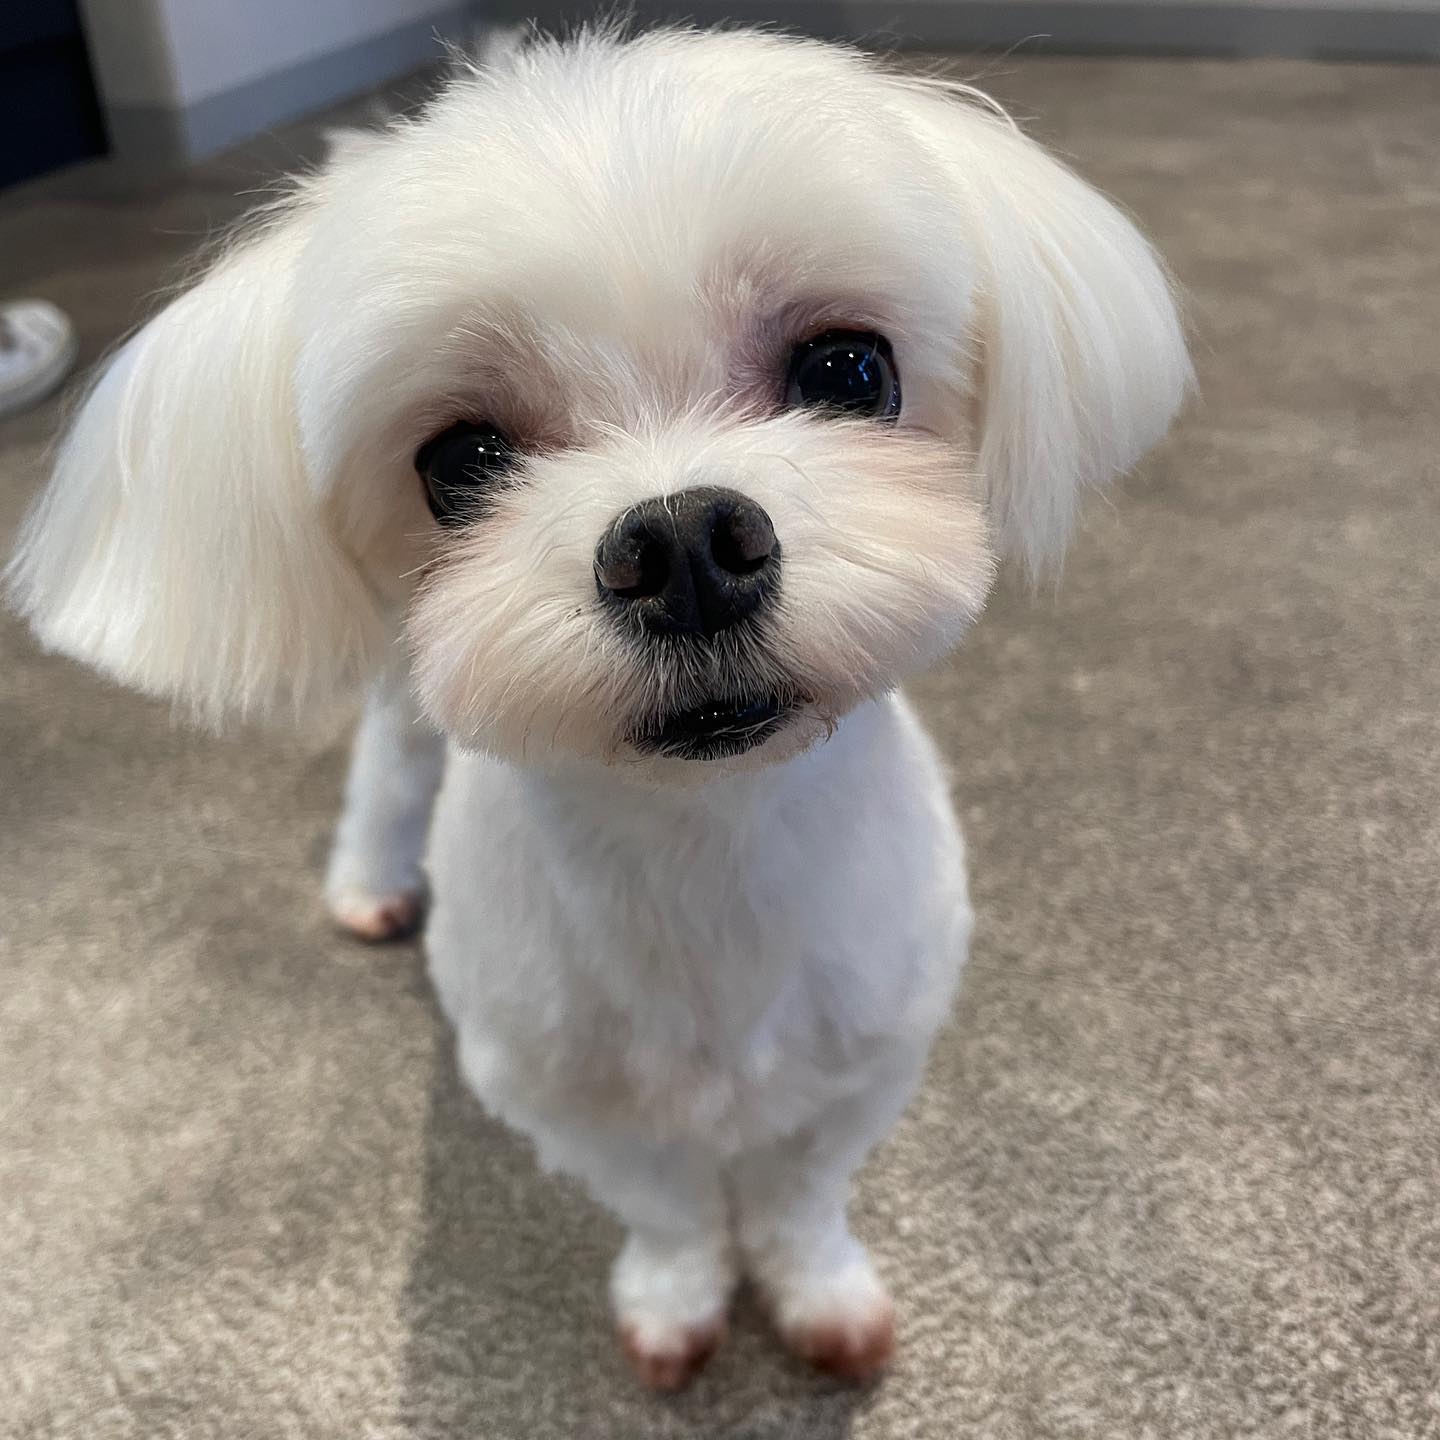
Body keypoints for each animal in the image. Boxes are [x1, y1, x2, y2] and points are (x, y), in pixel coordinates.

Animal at [7, 27, 1188, 1390]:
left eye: (851, 369)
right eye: (459, 462)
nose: (684, 545)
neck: (709, 843)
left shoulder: (869, 1055)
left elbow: (800, 1195)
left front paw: (818, 1294)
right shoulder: (563, 1095)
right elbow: (669, 1208)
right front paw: (678, 1303)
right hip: (405, 700)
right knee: (386, 775)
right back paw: (368, 881)